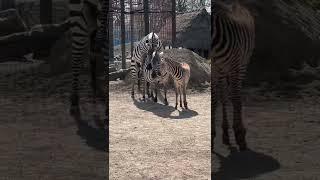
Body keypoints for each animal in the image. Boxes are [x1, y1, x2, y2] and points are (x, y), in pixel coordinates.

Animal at [211, 0, 256, 151]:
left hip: (241, 64)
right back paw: (225, 133)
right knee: (223, 97)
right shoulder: (213, 70)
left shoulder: (234, 66)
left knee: (235, 96)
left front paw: (239, 134)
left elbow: (235, 98)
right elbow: (214, 100)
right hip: (221, 71)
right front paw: (212, 135)